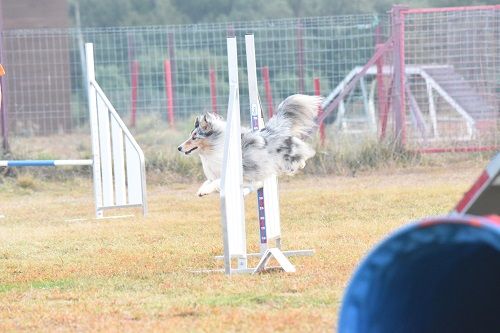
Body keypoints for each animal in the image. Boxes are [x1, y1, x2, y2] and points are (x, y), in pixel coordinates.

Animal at [178, 93, 322, 196]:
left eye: (194, 137)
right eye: (191, 136)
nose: (179, 148)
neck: (213, 149)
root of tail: (273, 129)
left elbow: (218, 182)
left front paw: (204, 191)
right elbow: (208, 181)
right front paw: (201, 190)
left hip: (285, 160)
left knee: (301, 158)